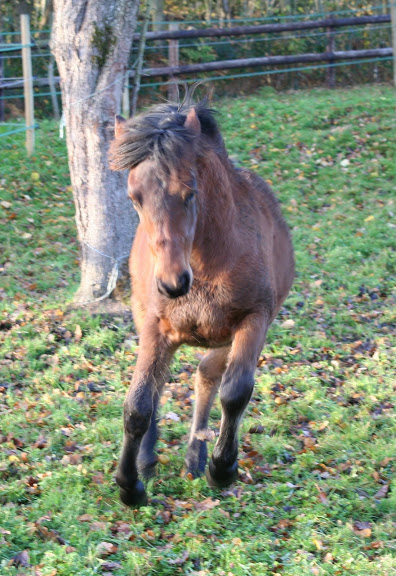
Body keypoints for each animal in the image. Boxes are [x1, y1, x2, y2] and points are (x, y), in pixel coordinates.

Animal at [109, 93, 294, 504]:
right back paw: (149, 459)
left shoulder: (254, 319)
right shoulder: (154, 325)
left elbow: (235, 392)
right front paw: (131, 486)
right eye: (134, 197)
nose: (172, 282)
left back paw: (196, 454)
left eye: (189, 190)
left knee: (207, 375)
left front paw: (222, 469)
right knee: (161, 383)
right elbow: (137, 405)